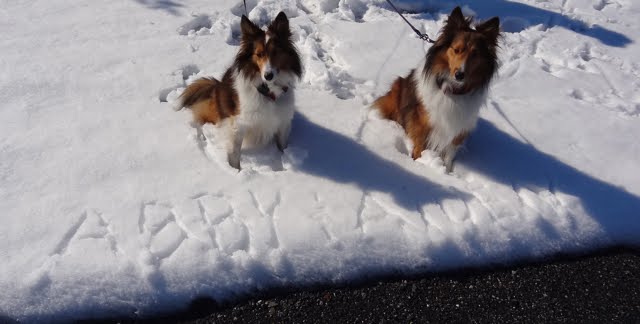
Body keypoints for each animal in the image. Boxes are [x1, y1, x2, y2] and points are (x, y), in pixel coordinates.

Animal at [372, 6, 502, 172]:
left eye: (475, 54)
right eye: (456, 50)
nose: (460, 75)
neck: (453, 91)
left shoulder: (458, 128)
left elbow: (449, 155)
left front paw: (446, 171)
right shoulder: (423, 121)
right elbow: (419, 147)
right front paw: (418, 163)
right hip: (397, 89)